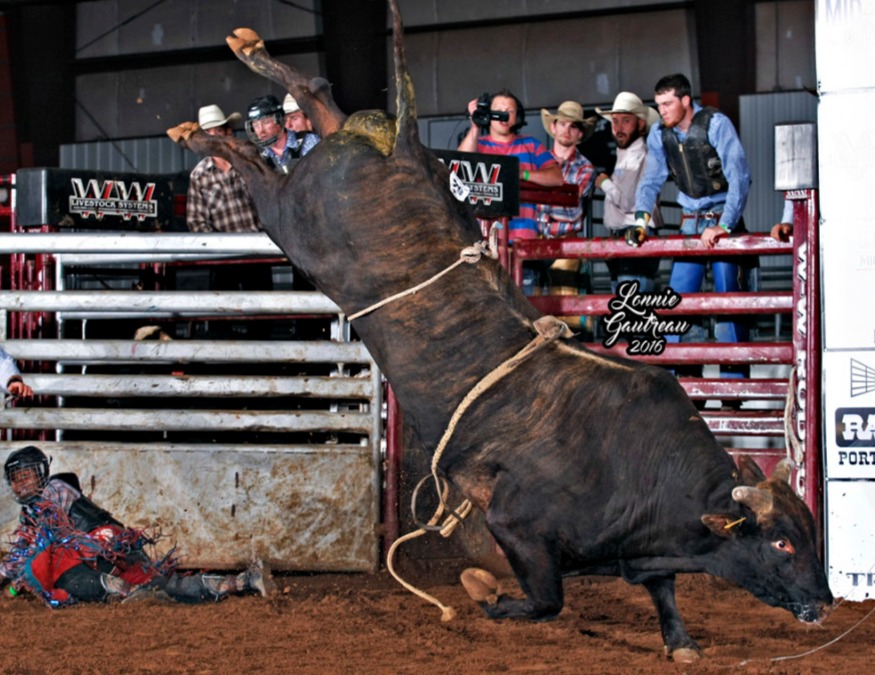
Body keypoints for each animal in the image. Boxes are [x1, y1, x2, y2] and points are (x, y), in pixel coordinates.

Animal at [169, 0, 836, 664]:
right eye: (781, 543)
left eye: (811, 536)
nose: (826, 601)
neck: (639, 464)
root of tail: (404, 149)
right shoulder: (516, 526)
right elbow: (546, 600)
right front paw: (483, 592)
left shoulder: (639, 549)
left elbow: (662, 589)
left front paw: (681, 642)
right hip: (291, 216)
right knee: (259, 162)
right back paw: (204, 129)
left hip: (321, 171)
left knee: (315, 94)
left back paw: (245, 59)